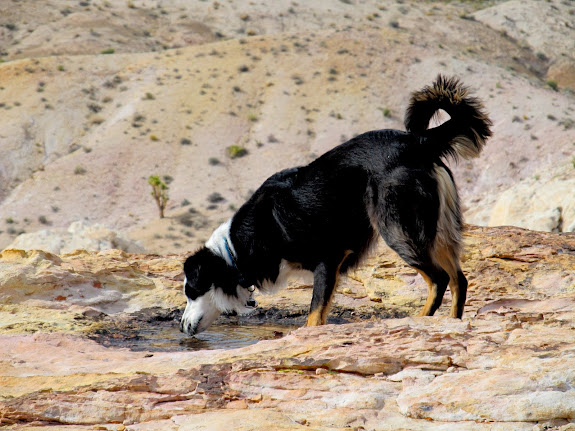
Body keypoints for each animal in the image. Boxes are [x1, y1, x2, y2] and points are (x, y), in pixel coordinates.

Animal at [180, 75, 490, 338]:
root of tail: (420, 141)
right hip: (439, 227)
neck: (235, 250)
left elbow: (314, 314)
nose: (182, 327)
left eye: (190, 292)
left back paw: (421, 320)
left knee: (438, 278)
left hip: (398, 227)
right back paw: (452, 323)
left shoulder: (328, 257)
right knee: (459, 280)